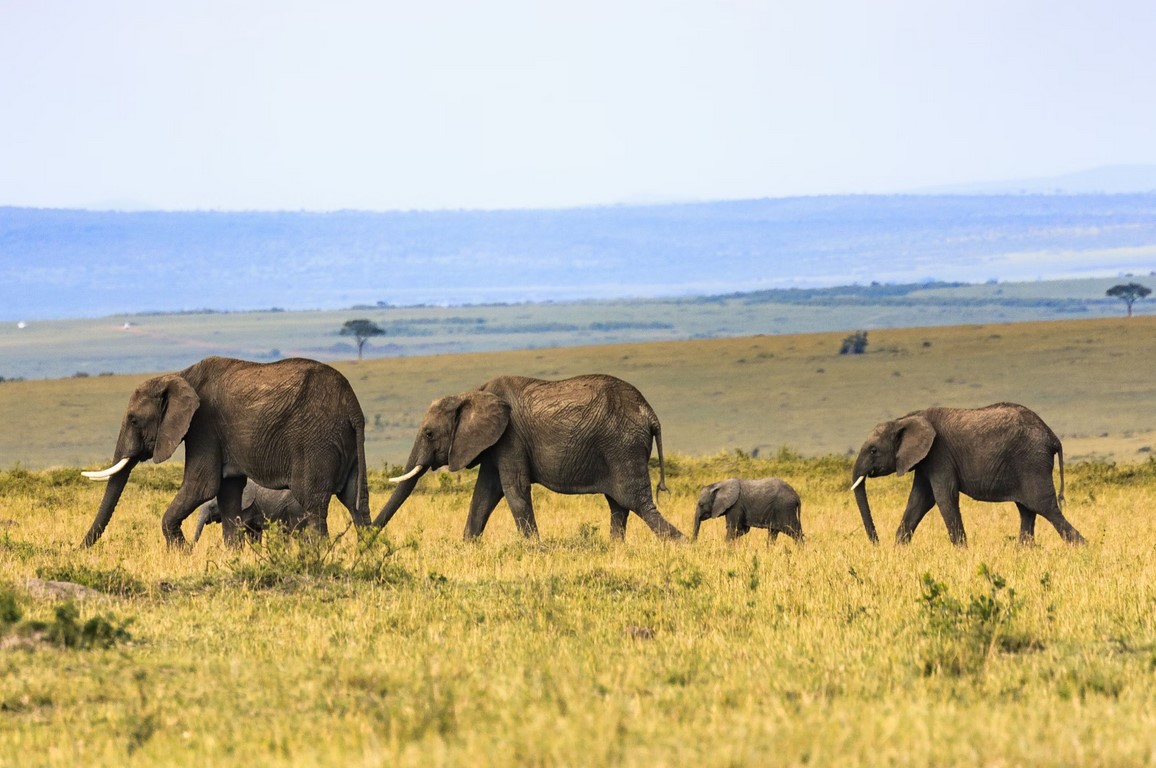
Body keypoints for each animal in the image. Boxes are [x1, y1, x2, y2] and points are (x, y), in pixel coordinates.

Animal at [80, 356, 369, 548]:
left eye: (133, 420)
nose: (80, 548)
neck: (180, 376)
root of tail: (353, 408)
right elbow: (228, 493)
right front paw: (233, 555)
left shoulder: (203, 426)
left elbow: (202, 486)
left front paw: (182, 553)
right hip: (345, 442)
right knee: (356, 501)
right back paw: (368, 554)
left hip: (316, 441)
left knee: (313, 503)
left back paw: (318, 556)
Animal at [374, 372, 684, 538]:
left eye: (428, 433)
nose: (368, 535)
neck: (472, 393)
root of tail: (651, 414)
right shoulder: (495, 443)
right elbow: (484, 494)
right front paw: (466, 546)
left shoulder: (510, 437)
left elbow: (514, 489)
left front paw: (536, 549)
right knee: (619, 505)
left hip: (623, 447)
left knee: (637, 503)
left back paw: (683, 544)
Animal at [850, 402, 1082, 545]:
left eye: (873, 450)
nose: (876, 543)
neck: (905, 419)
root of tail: (1052, 437)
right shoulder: (925, 461)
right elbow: (919, 500)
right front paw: (898, 549)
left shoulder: (939, 454)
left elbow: (944, 497)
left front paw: (962, 550)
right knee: (1027, 510)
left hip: (1032, 462)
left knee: (1044, 507)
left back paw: (1081, 547)